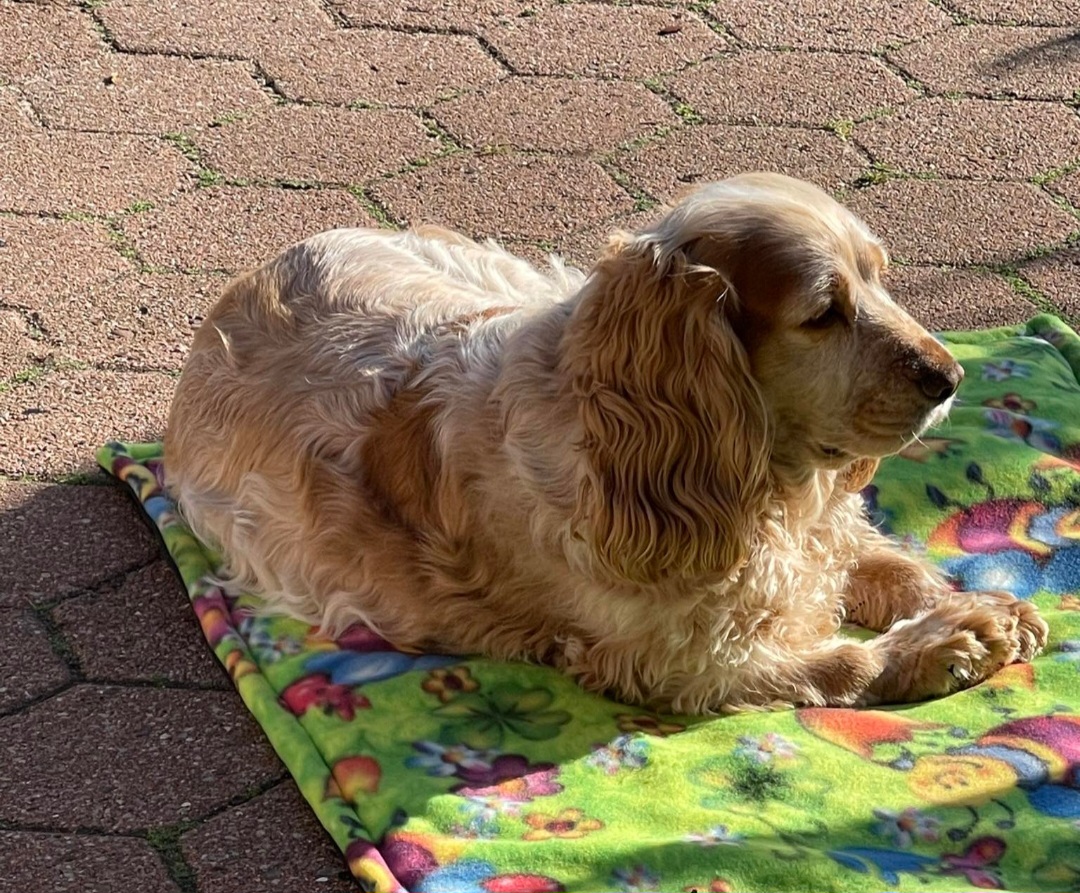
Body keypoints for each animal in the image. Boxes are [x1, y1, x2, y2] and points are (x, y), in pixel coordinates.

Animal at [165, 172, 1047, 713]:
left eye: (881, 277)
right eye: (823, 311)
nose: (950, 376)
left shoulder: (817, 536)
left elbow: (889, 561)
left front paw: (983, 604)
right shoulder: (674, 658)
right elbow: (842, 663)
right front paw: (954, 638)